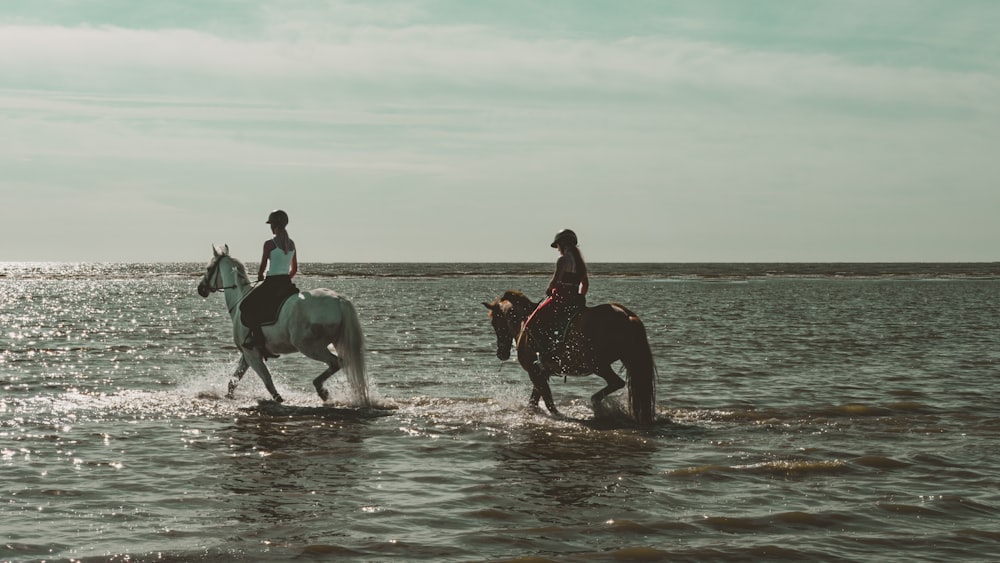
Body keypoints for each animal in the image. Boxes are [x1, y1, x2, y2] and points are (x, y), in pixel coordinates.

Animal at [195, 245, 372, 408]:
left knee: (337, 362)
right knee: (341, 363)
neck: (239, 299)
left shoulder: (252, 354)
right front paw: (229, 397)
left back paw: (321, 389)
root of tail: (339, 300)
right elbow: (233, 381)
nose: (200, 289)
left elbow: (267, 380)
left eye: (209, 268)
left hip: (309, 346)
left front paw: (279, 399)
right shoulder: (247, 354)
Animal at [482, 294, 656, 426]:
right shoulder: (541, 373)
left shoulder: (534, 372)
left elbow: (548, 401)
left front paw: (558, 416)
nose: (501, 353)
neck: (523, 322)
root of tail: (627, 315)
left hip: (598, 365)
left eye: (494, 322)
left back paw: (596, 403)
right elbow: (535, 400)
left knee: (616, 382)